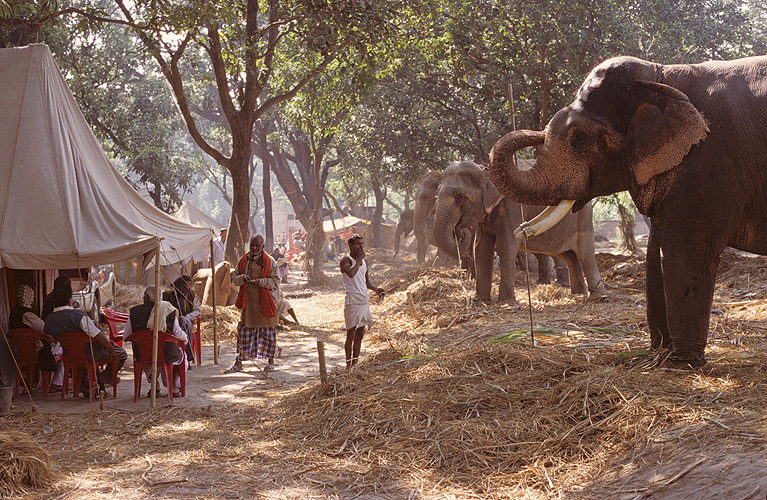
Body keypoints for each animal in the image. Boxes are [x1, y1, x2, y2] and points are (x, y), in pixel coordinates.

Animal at [432, 160, 608, 302]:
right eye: (436, 194)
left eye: (460, 197)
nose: (460, 231)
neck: (486, 171)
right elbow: (481, 249)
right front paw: (480, 301)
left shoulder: (513, 208)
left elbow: (506, 246)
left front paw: (506, 302)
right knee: (568, 256)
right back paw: (578, 295)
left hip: (583, 220)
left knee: (585, 254)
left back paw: (598, 297)